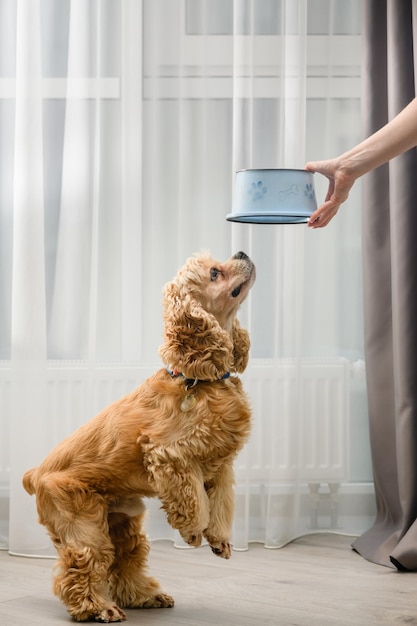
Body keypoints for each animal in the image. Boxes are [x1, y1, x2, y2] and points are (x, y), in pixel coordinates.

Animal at [24, 250, 255, 620]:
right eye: (214, 273)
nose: (242, 252)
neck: (196, 379)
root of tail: (36, 475)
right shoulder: (171, 456)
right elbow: (195, 501)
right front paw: (193, 532)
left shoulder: (220, 464)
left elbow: (220, 504)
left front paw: (219, 539)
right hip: (82, 521)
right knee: (83, 566)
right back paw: (98, 608)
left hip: (123, 520)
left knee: (126, 560)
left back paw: (146, 596)